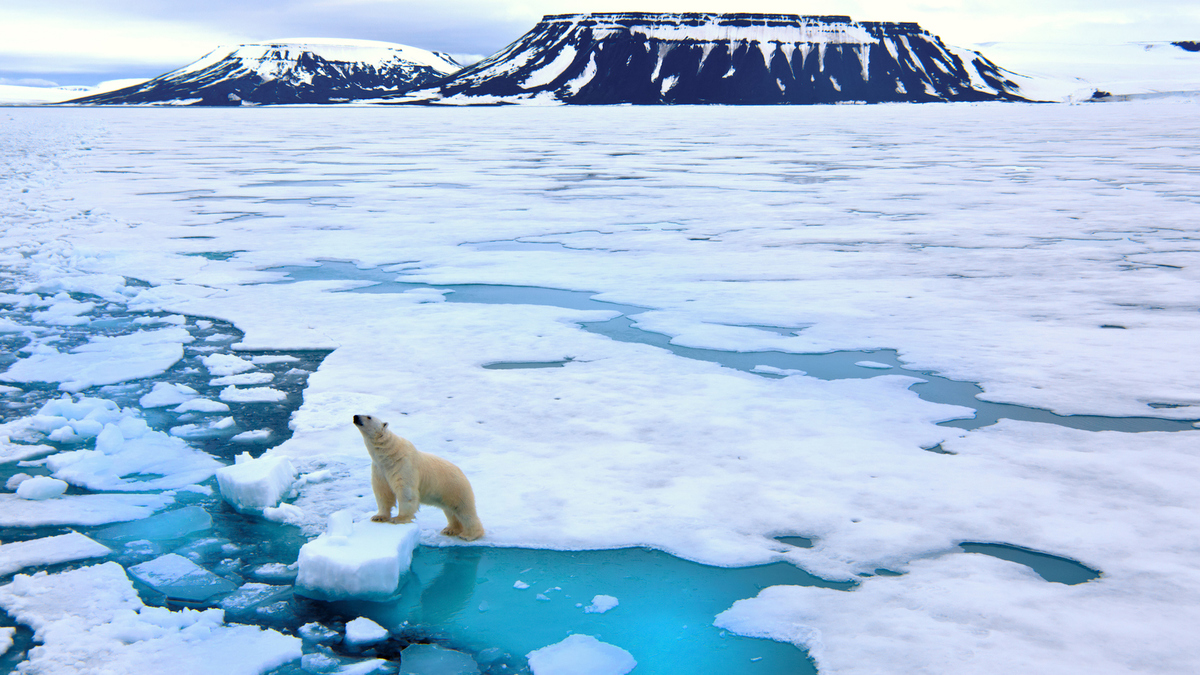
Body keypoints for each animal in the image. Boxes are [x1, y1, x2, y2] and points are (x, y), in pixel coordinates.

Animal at [352, 413, 484, 538]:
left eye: (369, 417)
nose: (355, 416)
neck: (389, 454)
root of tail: (462, 473)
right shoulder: (379, 469)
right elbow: (383, 492)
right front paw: (378, 517)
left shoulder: (404, 464)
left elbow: (406, 491)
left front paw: (398, 518)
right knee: (450, 511)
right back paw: (450, 529)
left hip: (455, 488)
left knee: (464, 510)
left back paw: (470, 535)